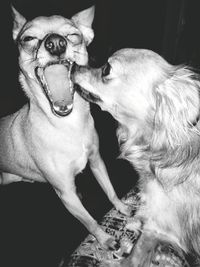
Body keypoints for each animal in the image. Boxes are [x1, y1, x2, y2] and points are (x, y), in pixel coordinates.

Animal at [0, 7, 130, 251]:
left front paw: (122, 207)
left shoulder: (97, 162)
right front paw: (104, 239)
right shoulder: (66, 193)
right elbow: (89, 221)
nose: (55, 43)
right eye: (28, 39)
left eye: (73, 36)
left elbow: (109, 190)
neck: (68, 125)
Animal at [73, 48, 200, 267]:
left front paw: (115, 261)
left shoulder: (156, 229)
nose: (73, 65)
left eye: (106, 69)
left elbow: (133, 257)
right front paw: (135, 222)